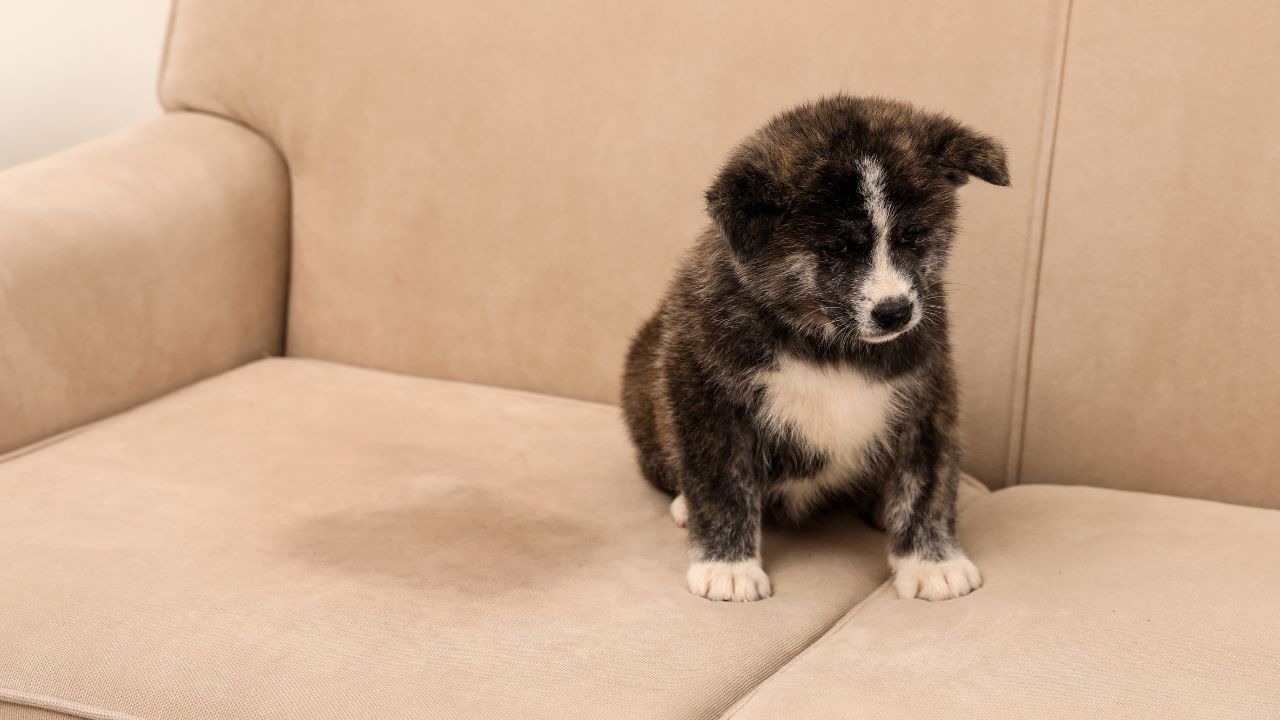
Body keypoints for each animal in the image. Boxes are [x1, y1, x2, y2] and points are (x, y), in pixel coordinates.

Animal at [619, 95, 1008, 599]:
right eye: (838, 247)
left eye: (912, 237)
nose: (895, 311)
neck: (827, 343)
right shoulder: (704, 391)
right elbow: (722, 483)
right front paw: (729, 566)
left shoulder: (928, 394)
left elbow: (926, 482)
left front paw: (931, 562)